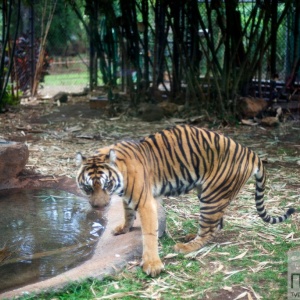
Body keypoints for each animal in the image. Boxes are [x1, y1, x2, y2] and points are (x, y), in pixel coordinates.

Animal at [75, 123, 296, 276]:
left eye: (106, 185)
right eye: (88, 187)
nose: (99, 207)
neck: (120, 176)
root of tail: (251, 152)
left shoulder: (146, 202)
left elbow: (149, 234)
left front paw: (152, 265)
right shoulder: (128, 198)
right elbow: (127, 212)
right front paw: (123, 228)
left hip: (212, 195)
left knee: (209, 230)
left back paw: (185, 247)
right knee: (216, 224)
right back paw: (190, 237)